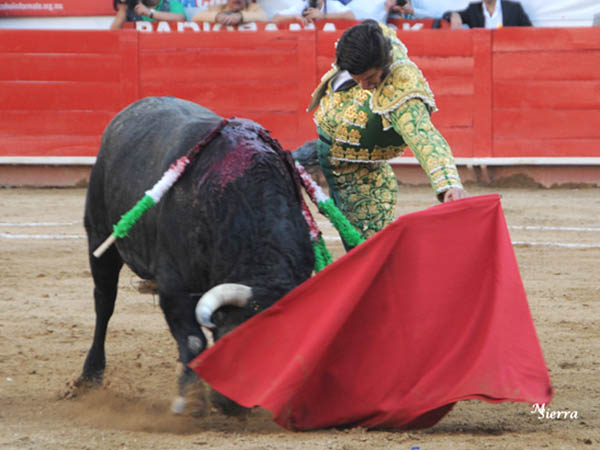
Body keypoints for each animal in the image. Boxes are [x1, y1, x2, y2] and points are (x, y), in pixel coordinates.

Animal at [78, 96, 315, 415]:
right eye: (237, 338)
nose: (234, 405)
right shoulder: (174, 286)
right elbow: (193, 339)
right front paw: (190, 400)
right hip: (100, 237)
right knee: (104, 303)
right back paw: (89, 375)